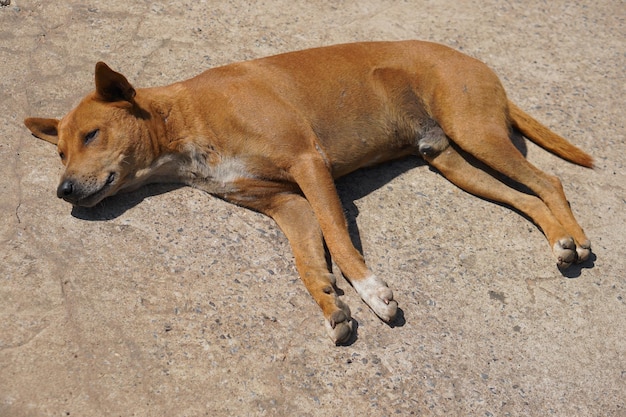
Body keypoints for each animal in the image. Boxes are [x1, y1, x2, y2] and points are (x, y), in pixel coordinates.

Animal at [24, 40, 588, 342]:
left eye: (92, 135)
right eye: (60, 152)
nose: (63, 190)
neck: (183, 120)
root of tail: (477, 62)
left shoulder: (309, 164)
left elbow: (338, 238)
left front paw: (372, 292)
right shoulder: (287, 202)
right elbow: (305, 261)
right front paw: (328, 301)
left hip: (476, 132)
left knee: (550, 180)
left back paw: (578, 240)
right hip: (450, 161)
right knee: (527, 198)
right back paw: (560, 242)